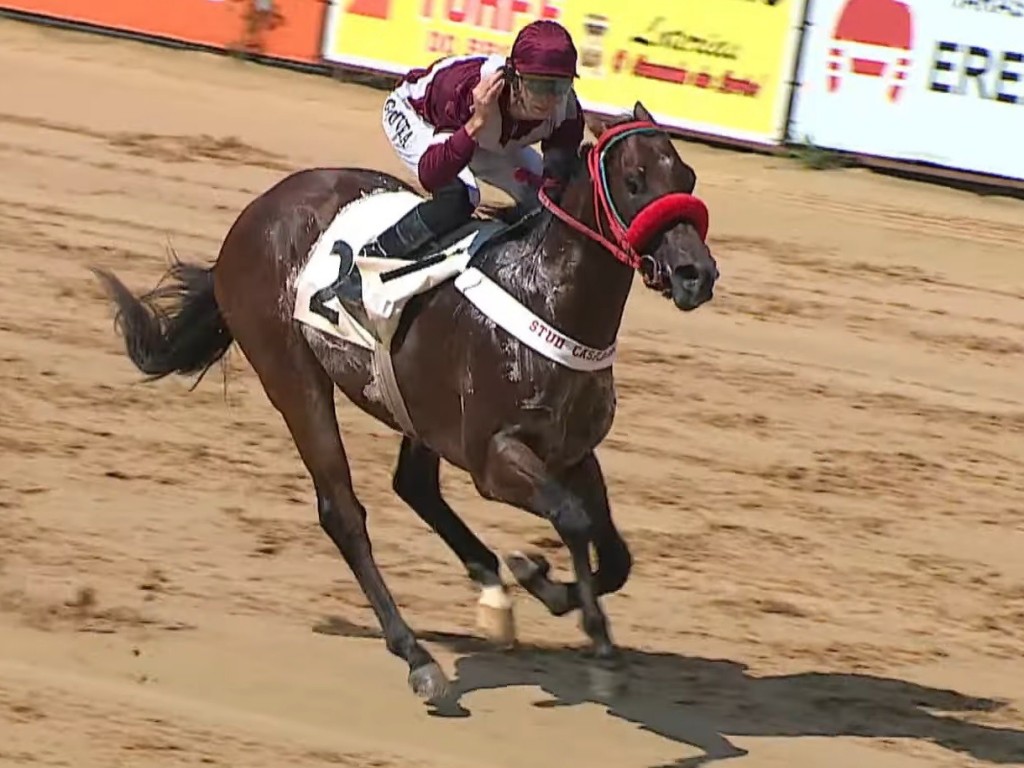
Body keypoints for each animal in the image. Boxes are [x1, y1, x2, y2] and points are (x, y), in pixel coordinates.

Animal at [94, 100, 720, 704]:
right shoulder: (492, 459)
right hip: (292, 374)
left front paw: (552, 593)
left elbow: (612, 550)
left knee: (413, 485)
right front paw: (569, 610)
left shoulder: (572, 451)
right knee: (343, 512)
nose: (697, 274)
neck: (546, 297)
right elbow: (571, 517)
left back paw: (492, 591)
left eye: (687, 175)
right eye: (635, 180)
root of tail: (256, 213)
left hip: (417, 408)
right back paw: (419, 657)